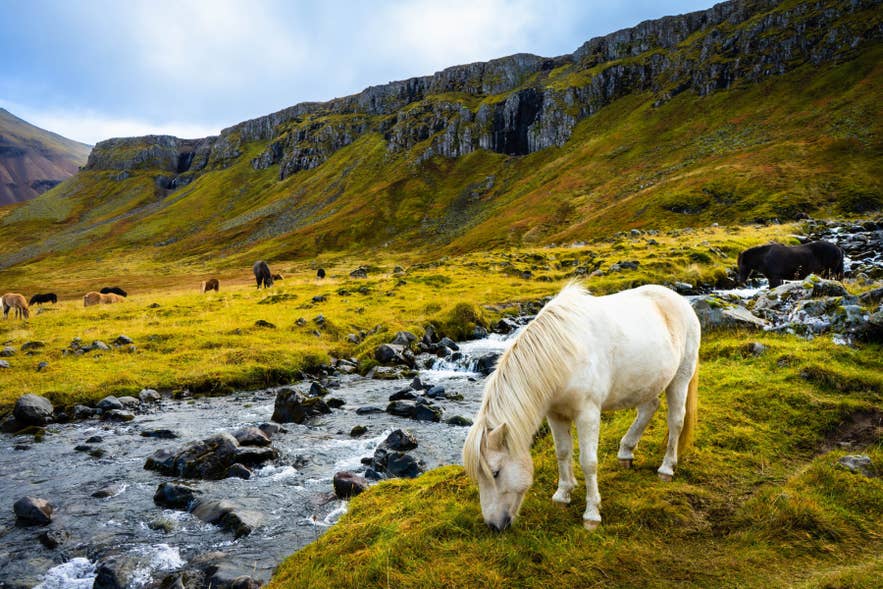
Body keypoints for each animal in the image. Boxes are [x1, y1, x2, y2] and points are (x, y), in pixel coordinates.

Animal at [463, 283, 700, 532]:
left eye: (496, 472)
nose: (494, 525)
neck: (564, 353)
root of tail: (680, 301)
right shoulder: (556, 414)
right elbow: (562, 452)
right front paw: (563, 494)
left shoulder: (588, 414)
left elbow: (588, 462)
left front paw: (592, 514)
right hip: (647, 382)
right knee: (649, 408)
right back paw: (626, 451)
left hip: (680, 378)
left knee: (676, 420)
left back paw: (666, 468)